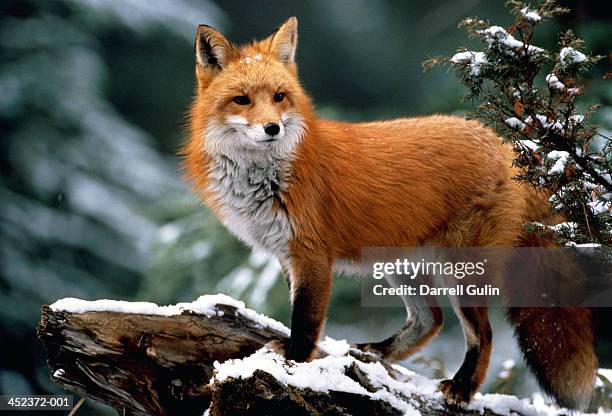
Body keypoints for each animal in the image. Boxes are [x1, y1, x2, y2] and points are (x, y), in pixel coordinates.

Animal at [183, 17, 596, 412]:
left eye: (279, 97)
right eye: (241, 100)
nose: (273, 128)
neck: (267, 177)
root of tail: (507, 144)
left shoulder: (312, 255)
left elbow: (305, 322)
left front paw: (295, 365)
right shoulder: (286, 254)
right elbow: (301, 316)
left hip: (459, 270)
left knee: (483, 333)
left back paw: (462, 388)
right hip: (402, 265)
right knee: (430, 320)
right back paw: (376, 353)